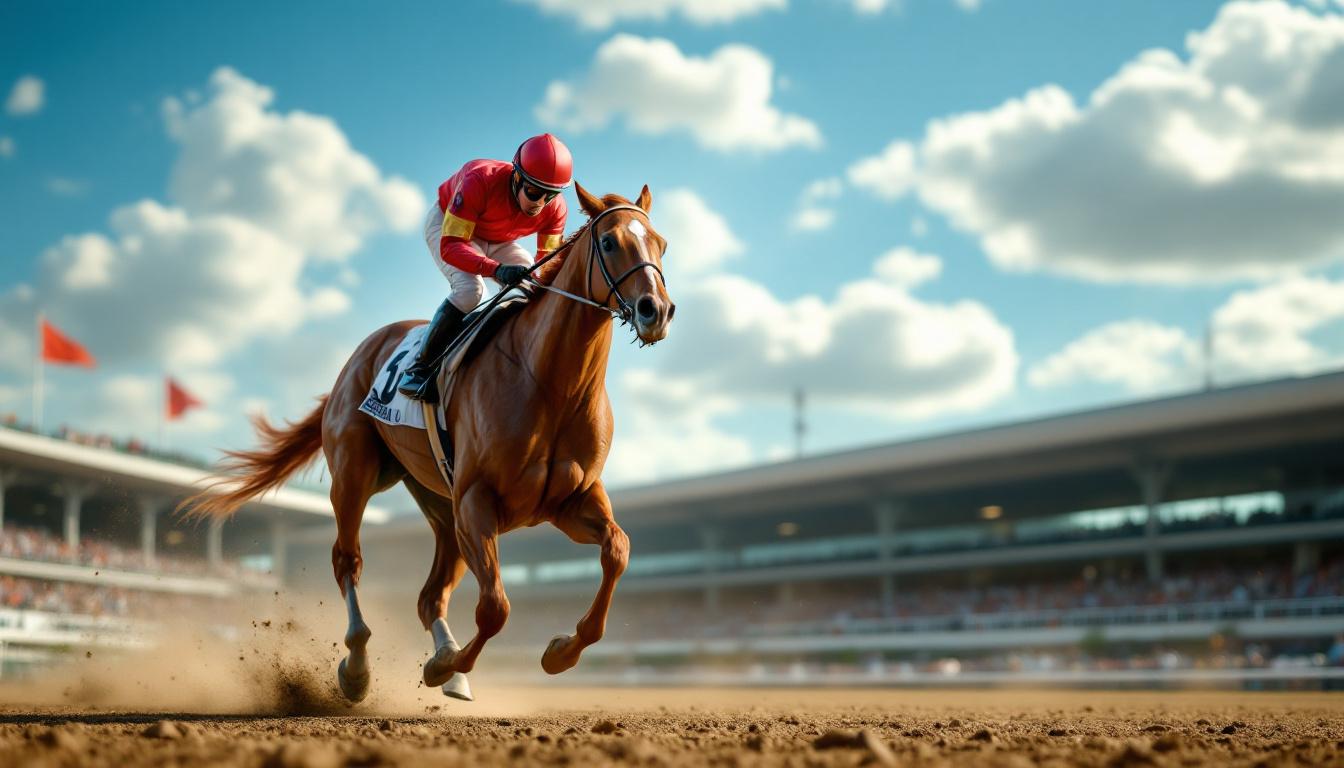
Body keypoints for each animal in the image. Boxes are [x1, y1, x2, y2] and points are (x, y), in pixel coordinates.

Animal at [182, 183, 673, 703]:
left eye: (661, 244)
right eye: (610, 243)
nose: (656, 311)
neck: (550, 384)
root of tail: (361, 354)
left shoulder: (570, 502)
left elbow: (617, 550)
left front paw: (560, 651)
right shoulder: (477, 503)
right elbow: (495, 607)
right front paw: (449, 665)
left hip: (439, 504)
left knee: (429, 595)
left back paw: (444, 660)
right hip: (357, 475)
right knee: (347, 561)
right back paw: (359, 667)